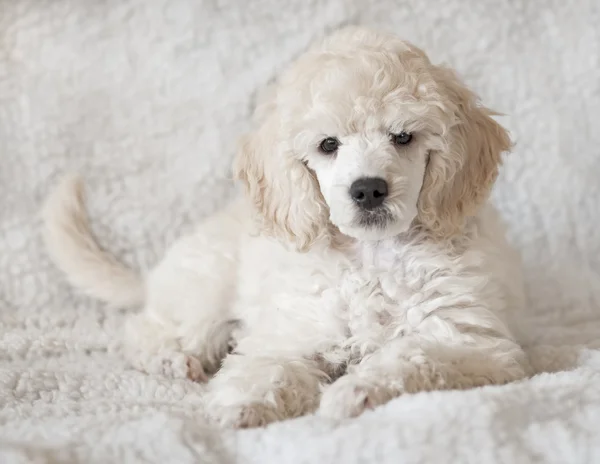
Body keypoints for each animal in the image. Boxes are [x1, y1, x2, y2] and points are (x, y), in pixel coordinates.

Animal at [42, 26, 528, 428]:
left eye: (403, 137)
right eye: (328, 145)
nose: (368, 190)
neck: (371, 257)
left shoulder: (471, 341)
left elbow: (412, 356)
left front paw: (356, 391)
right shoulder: (289, 330)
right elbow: (268, 366)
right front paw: (240, 405)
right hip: (205, 294)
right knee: (143, 330)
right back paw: (172, 360)